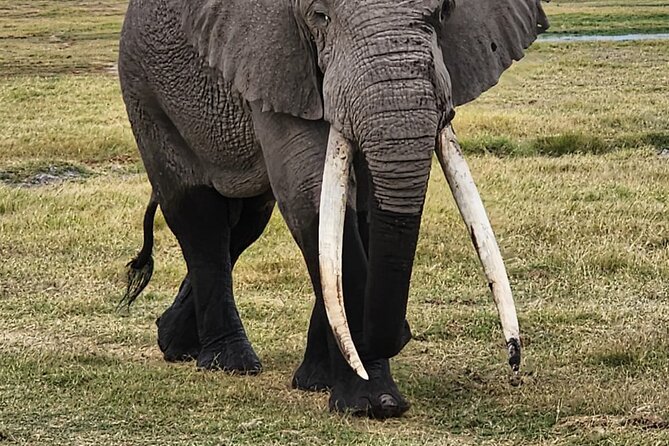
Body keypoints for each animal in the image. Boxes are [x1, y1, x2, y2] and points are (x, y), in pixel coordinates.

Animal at [117, 0, 549, 418]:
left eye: (443, 12)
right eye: (319, 17)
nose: (514, 365)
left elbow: (362, 208)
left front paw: (320, 382)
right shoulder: (274, 60)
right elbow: (309, 192)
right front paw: (372, 403)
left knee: (244, 224)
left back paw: (173, 341)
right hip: (145, 92)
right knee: (200, 218)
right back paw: (229, 362)